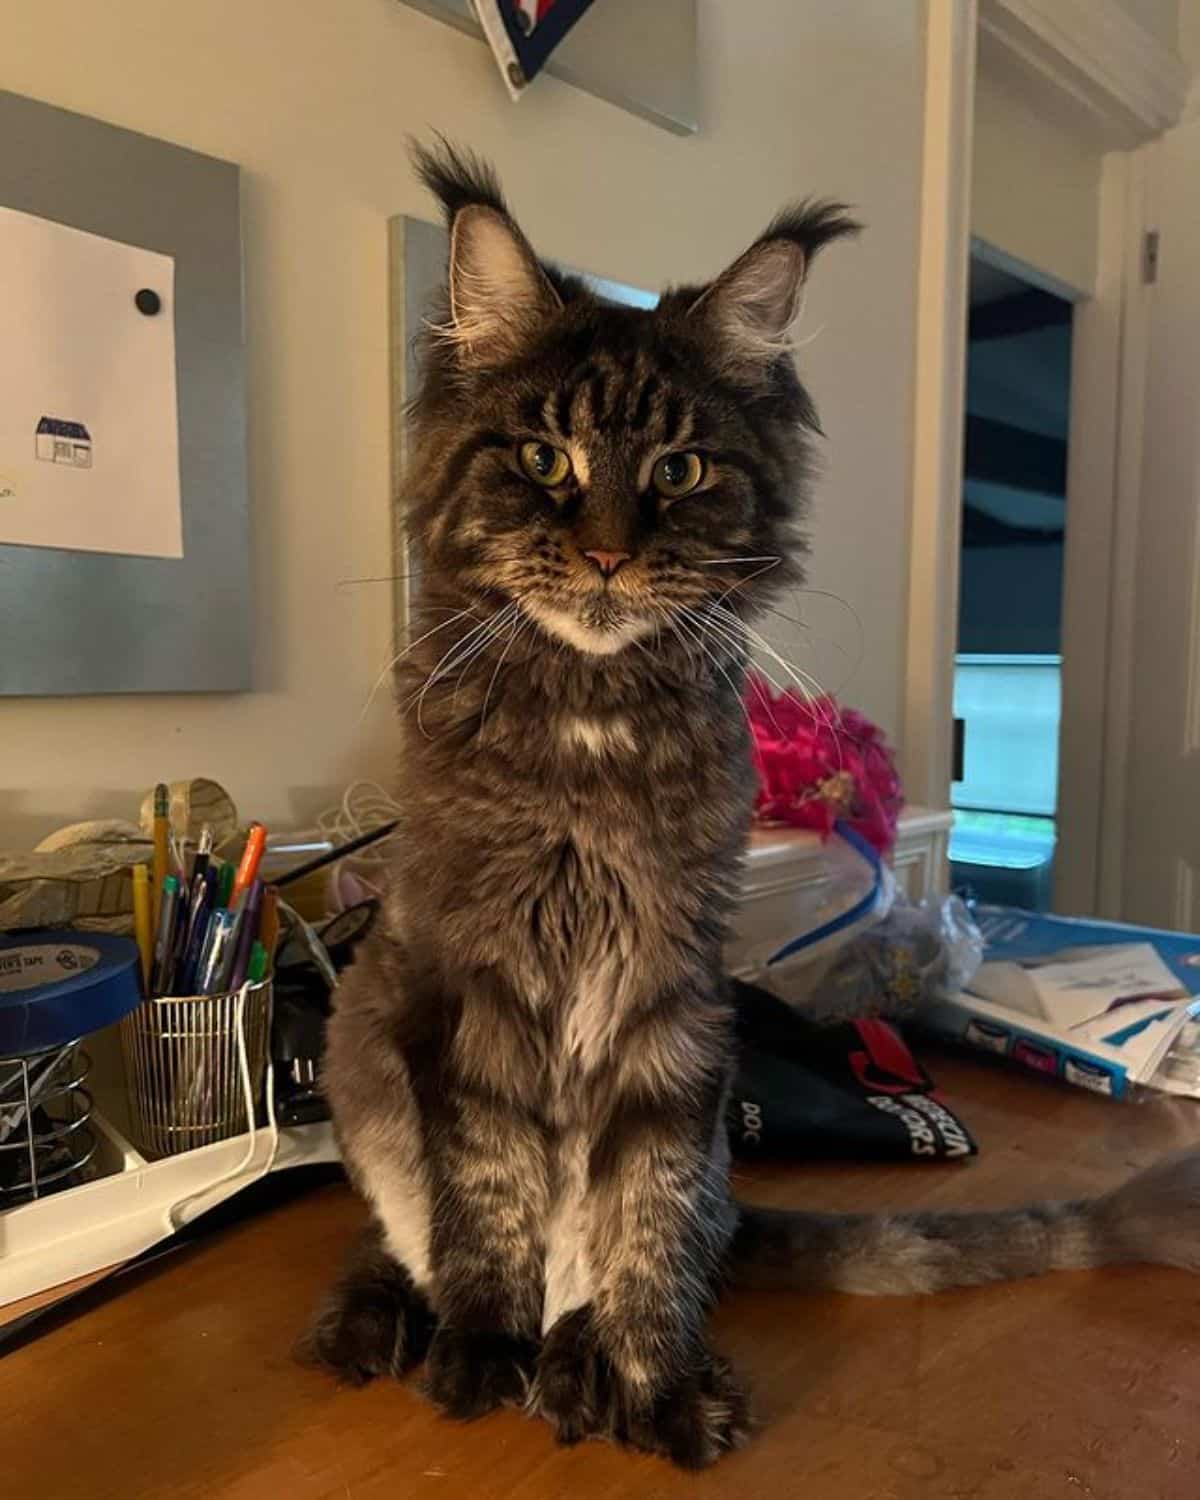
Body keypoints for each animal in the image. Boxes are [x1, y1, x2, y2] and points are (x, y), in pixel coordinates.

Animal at [307, 146, 1200, 1470]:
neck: (591, 732)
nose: (610, 555)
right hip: (362, 1035)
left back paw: (576, 1363)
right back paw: (384, 1318)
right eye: (544, 463)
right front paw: (479, 1346)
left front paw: (645, 1374)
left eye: (678, 472)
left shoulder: (673, 994)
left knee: (679, 1233)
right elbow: (490, 1192)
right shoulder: (471, 991)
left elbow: (642, 1211)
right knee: (405, 1230)